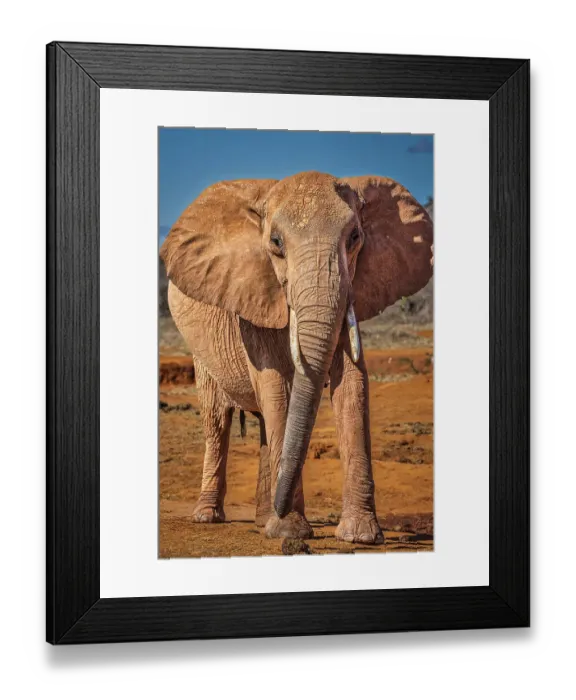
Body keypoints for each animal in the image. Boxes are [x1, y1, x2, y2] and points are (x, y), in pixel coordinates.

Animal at [160, 171, 433, 544]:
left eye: (355, 237)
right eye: (276, 242)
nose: (281, 508)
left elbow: (353, 386)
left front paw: (360, 536)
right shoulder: (253, 297)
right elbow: (279, 388)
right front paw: (291, 530)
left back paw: (264, 520)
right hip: (199, 349)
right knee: (217, 419)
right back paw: (208, 517)